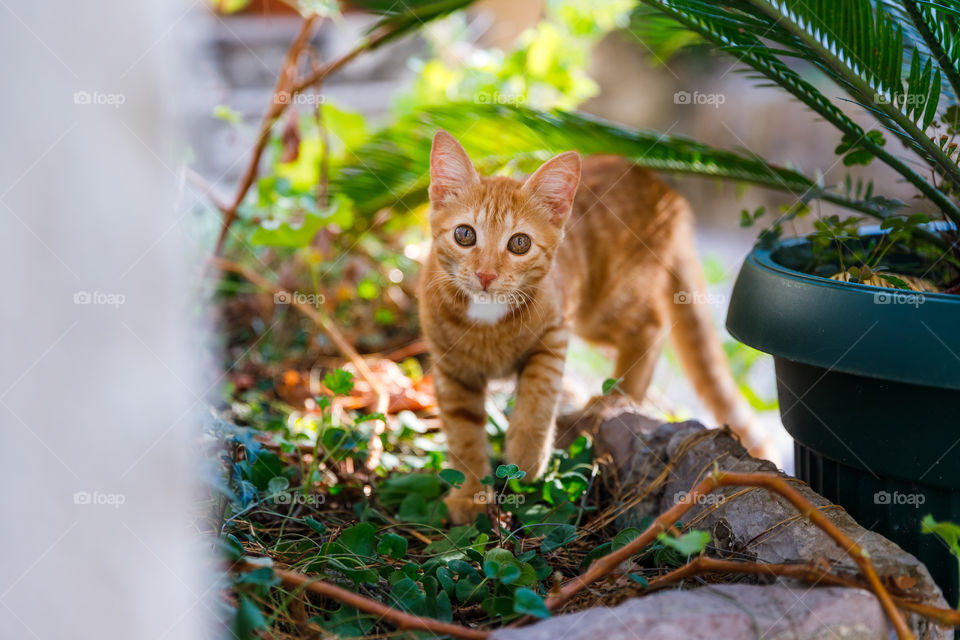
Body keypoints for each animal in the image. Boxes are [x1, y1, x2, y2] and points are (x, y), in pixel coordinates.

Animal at [420, 130, 764, 524]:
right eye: (465, 235)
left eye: (519, 243)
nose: (486, 275)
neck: (487, 318)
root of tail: (660, 185)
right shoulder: (450, 368)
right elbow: (462, 432)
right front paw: (470, 496)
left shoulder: (555, 331)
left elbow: (538, 395)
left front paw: (526, 456)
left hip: (603, 307)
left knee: (654, 324)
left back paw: (617, 395)